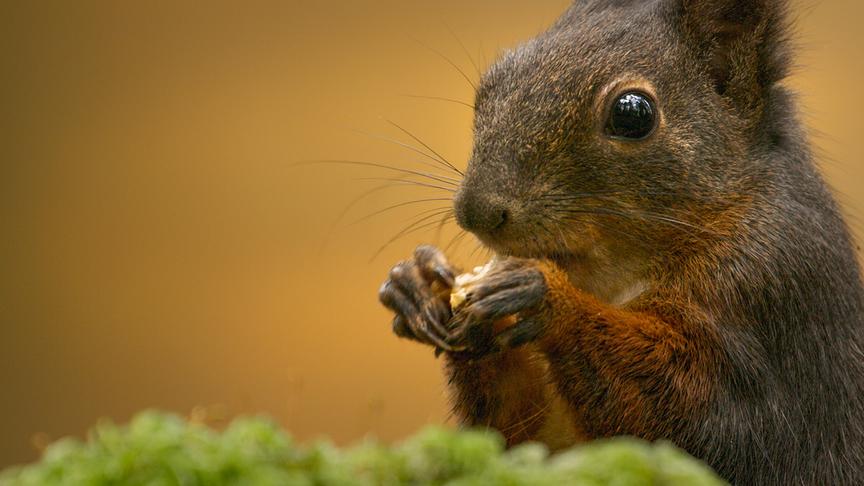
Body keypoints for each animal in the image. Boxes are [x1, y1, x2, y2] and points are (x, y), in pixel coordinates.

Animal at [377, 0, 864, 484]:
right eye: (490, 84)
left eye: (633, 114)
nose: (477, 211)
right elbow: (518, 437)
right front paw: (418, 284)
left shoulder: (774, 286)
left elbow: (704, 420)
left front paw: (544, 295)